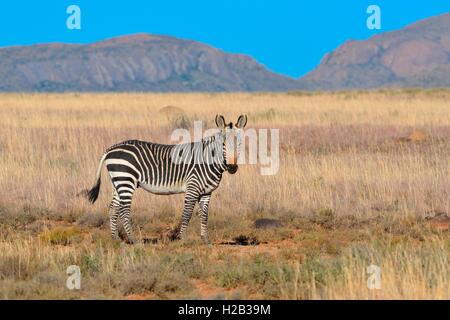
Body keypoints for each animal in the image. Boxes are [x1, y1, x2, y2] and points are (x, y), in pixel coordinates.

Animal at [81, 115, 250, 245]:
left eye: (240, 143)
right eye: (223, 144)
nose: (232, 167)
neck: (209, 160)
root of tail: (111, 149)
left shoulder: (206, 192)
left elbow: (204, 216)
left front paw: (205, 240)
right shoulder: (192, 187)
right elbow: (187, 213)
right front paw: (183, 239)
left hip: (119, 182)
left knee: (113, 208)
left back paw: (115, 238)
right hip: (126, 181)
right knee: (124, 210)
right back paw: (133, 240)